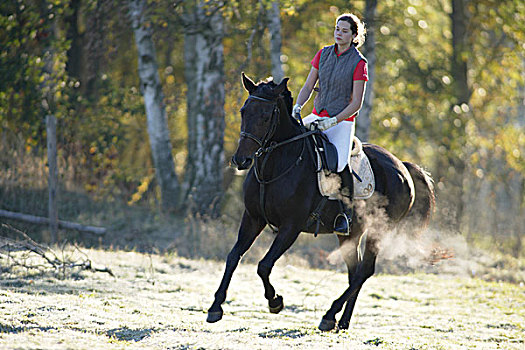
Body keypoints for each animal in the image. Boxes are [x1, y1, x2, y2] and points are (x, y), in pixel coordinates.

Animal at [206, 74, 434, 330]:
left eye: (265, 116)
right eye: (244, 111)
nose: (240, 160)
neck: (276, 165)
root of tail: (401, 166)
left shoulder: (291, 227)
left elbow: (263, 265)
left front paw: (275, 301)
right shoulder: (253, 218)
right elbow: (233, 257)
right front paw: (215, 307)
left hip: (378, 230)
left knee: (364, 271)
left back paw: (329, 315)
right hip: (350, 232)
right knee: (355, 271)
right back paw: (341, 321)